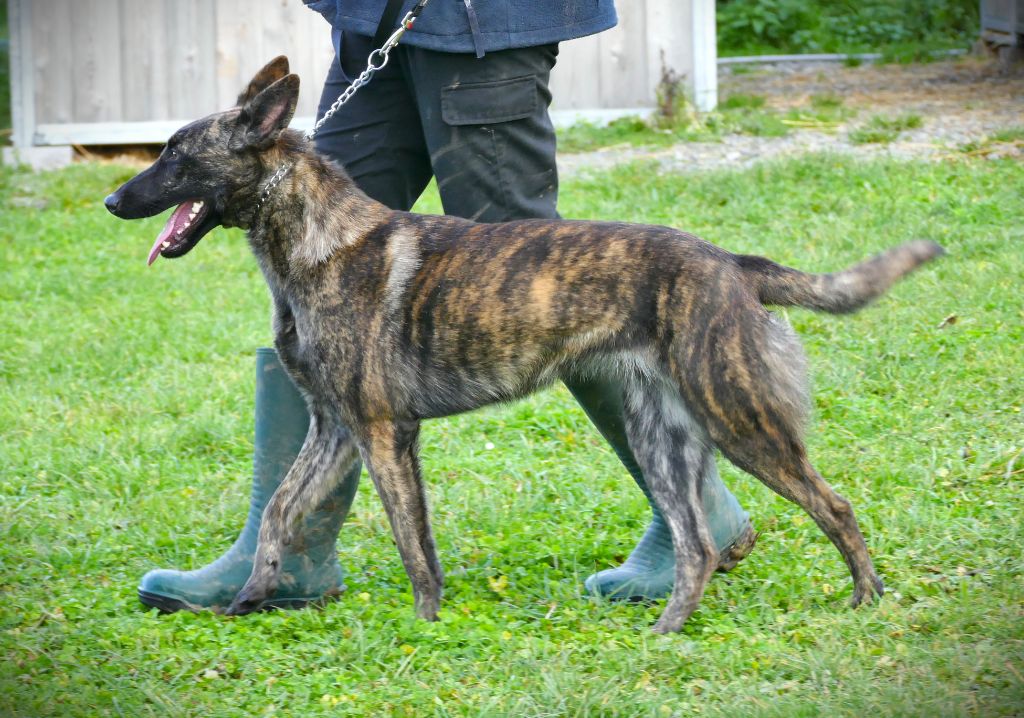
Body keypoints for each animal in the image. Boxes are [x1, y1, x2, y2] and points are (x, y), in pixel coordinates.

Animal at [105, 57, 942, 630]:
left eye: (176, 154)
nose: (112, 199)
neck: (319, 243)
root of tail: (733, 264)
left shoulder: (382, 434)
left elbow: (414, 546)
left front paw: (425, 628)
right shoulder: (335, 431)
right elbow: (281, 508)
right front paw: (251, 594)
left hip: (740, 420)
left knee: (833, 504)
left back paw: (866, 599)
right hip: (662, 436)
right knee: (697, 543)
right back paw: (667, 628)